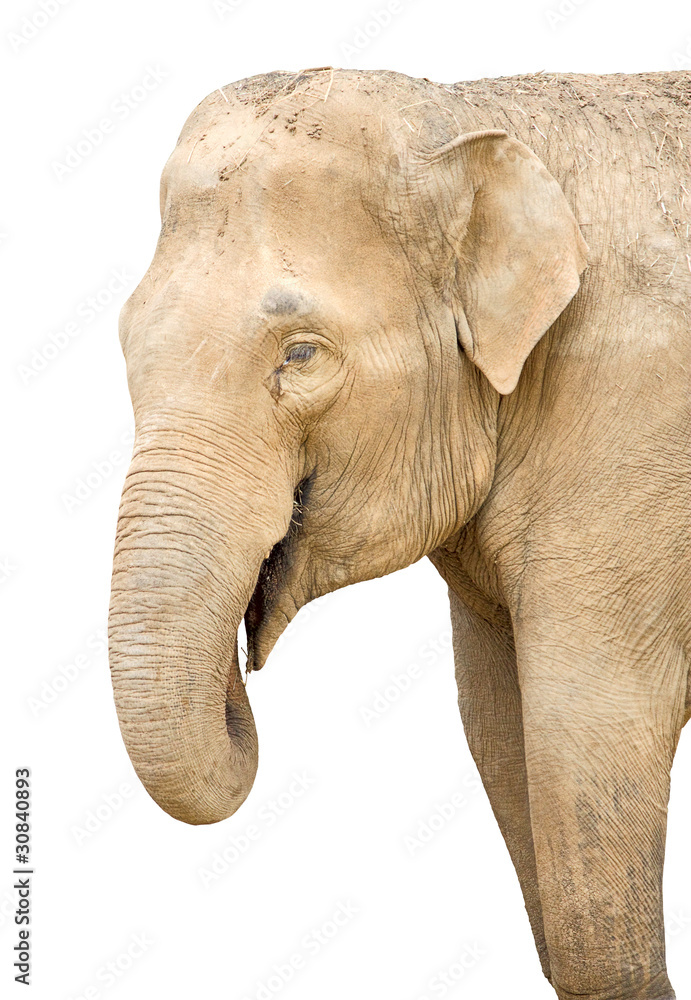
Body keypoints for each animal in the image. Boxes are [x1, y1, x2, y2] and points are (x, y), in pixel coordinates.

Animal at [108, 67, 691, 1000]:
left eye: (300, 355)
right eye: (127, 343)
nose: (241, 676)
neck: (474, 115)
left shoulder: (636, 438)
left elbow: (587, 739)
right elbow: (498, 726)